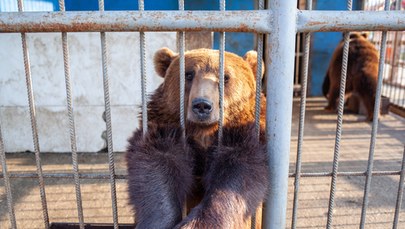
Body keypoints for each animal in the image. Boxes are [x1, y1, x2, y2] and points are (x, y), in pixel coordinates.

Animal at [126, 47, 268, 228]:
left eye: (225, 77)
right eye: (188, 74)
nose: (202, 105)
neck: (203, 133)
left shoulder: (243, 137)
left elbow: (238, 178)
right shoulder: (164, 129)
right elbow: (156, 171)